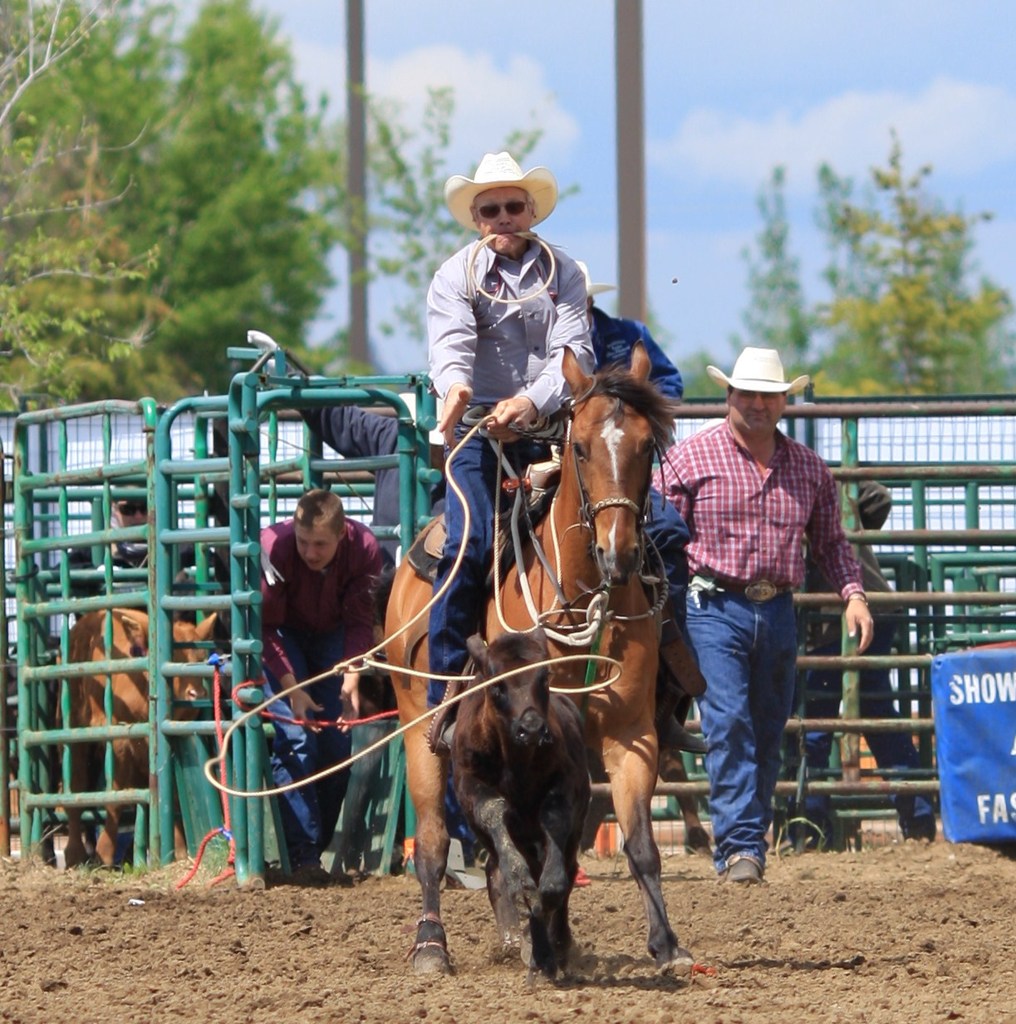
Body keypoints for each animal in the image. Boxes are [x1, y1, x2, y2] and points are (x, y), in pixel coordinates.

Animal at [385, 344, 696, 974]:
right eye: (580, 447)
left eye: (647, 447)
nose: (619, 553)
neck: (580, 597)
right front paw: (542, 936)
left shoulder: (630, 736)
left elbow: (637, 844)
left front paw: (665, 945)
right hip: (417, 731)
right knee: (432, 842)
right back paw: (432, 944)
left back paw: (522, 935)